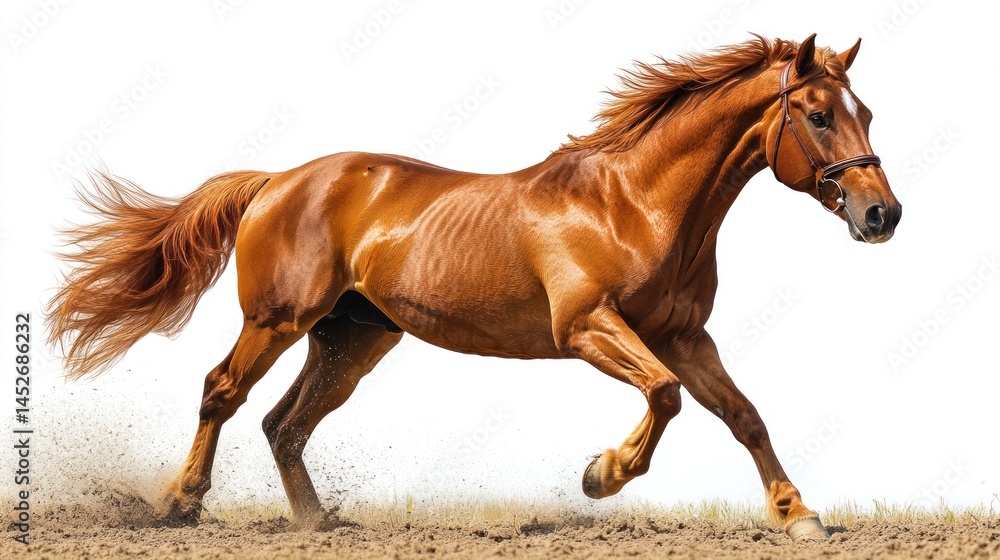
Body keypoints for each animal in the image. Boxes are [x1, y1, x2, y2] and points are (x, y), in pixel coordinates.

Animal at [47, 34, 901, 542]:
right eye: (819, 116)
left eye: (864, 109)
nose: (882, 214)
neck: (634, 204)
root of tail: (276, 180)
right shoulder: (587, 328)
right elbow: (664, 398)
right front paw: (600, 476)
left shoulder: (685, 336)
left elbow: (742, 414)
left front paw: (799, 516)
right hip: (277, 319)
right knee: (223, 392)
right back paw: (180, 504)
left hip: (352, 339)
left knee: (285, 424)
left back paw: (319, 525)